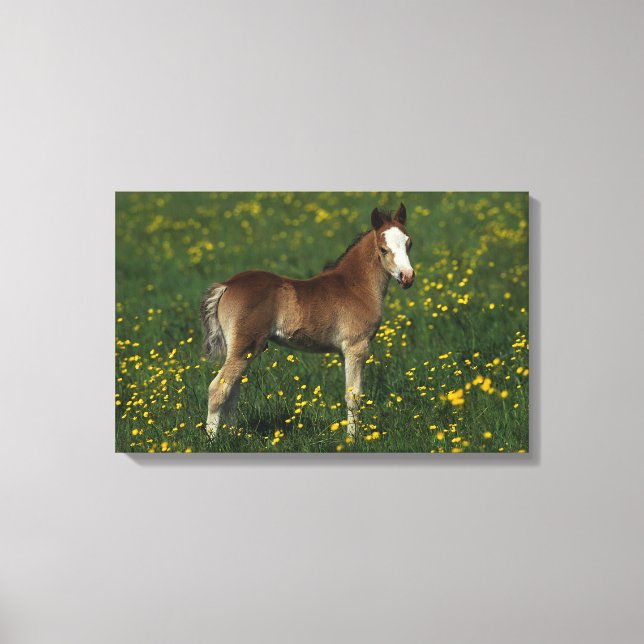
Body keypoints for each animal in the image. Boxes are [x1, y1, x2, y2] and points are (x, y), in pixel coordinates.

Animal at [200, 202, 414, 439]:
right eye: (383, 249)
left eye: (409, 244)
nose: (407, 277)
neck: (356, 286)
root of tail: (227, 285)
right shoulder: (357, 346)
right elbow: (354, 396)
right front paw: (353, 439)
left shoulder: (343, 352)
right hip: (245, 346)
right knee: (218, 388)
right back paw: (212, 440)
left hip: (242, 350)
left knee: (233, 392)